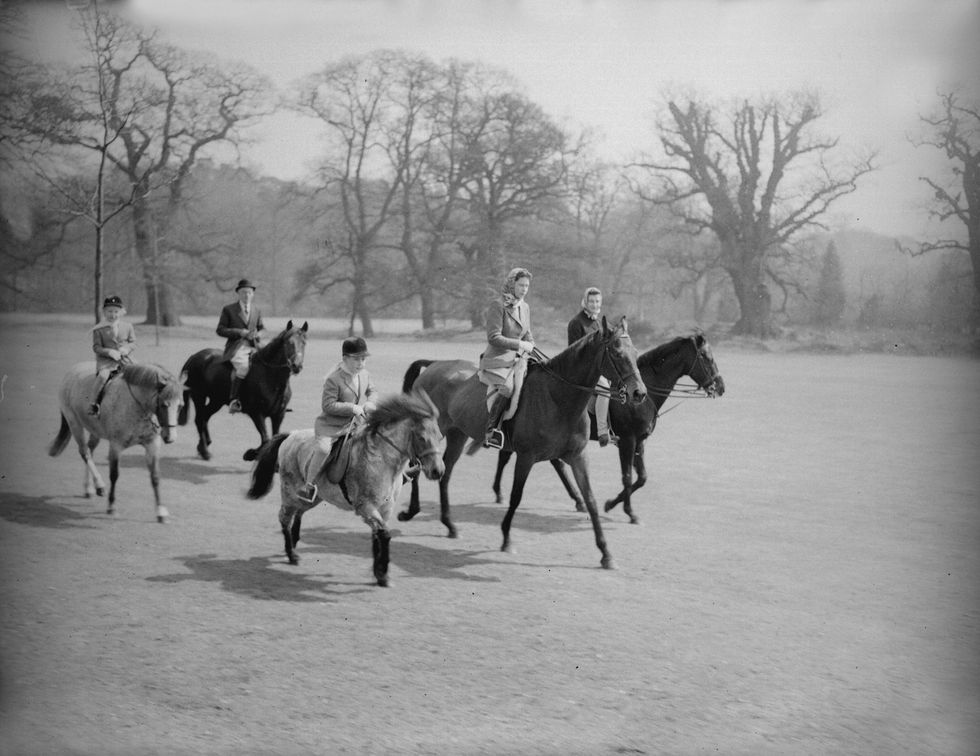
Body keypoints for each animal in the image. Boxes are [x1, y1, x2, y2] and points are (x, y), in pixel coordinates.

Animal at [48, 364, 185, 524]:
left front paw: (161, 511)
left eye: (180, 406)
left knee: (90, 450)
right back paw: (99, 485)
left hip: (95, 430)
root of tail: (72, 371)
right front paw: (111, 506)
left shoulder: (152, 445)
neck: (136, 406)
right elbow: (114, 475)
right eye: (163, 405)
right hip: (74, 423)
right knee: (85, 452)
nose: (170, 437)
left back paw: (89, 488)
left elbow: (155, 477)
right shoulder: (116, 446)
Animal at [178, 318, 308, 460]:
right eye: (288, 343)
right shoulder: (256, 413)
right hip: (199, 396)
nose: (297, 366)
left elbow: (274, 439)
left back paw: (205, 444)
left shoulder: (278, 414)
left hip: (216, 400)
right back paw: (204, 450)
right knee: (199, 419)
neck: (271, 377)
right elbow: (266, 439)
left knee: (205, 417)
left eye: (304, 343)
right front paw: (250, 454)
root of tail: (194, 356)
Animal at [245, 392, 444, 588]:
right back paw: (291, 554)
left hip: (312, 497)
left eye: (441, 437)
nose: (438, 471)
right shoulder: (366, 507)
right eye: (422, 438)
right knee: (285, 518)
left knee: (298, 513)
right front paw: (383, 574)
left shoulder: (385, 509)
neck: (382, 460)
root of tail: (290, 435)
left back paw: (294, 544)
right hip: (290, 492)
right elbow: (385, 534)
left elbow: (378, 536)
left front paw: (378, 573)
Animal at [398, 316, 652, 568]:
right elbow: (516, 496)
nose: (639, 393)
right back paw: (410, 511)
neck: (558, 397)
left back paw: (449, 525)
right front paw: (506, 539)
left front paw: (606, 553)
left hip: (457, 434)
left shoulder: (578, 456)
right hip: (435, 432)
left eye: (635, 351)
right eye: (617, 353)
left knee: (444, 474)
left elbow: (590, 500)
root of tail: (434, 365)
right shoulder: (526, 457)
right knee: (416, 465)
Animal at [494, 330, 724, 524]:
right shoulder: (628, 441)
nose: (720, 386)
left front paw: (612, 505)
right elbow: (627, 477)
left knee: (549, 461)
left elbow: (641, 478)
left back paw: (576, 500)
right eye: (706, 356)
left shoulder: (639, 442)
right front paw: (628, 512)